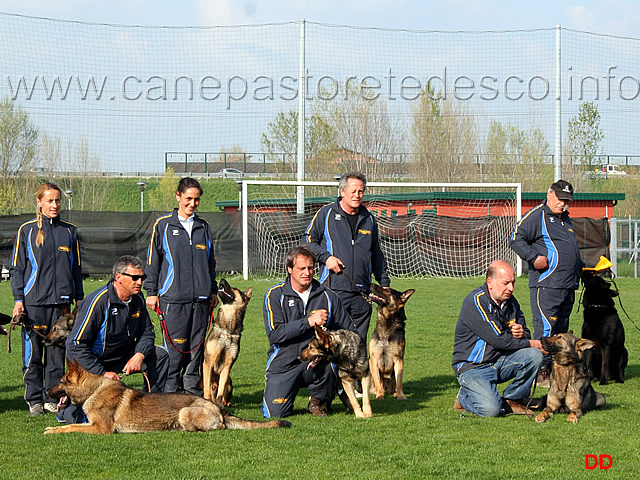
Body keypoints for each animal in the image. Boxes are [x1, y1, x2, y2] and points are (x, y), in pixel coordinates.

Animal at [45, 360, 292, 436]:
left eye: (60, 381)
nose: (46, 392)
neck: (94, 390)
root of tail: (218, 407)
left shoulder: (101, 429)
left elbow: (71, 427)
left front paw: (54, 430)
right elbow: (69, 425)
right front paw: (52, 428)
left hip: (184, 412)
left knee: (218, 427)